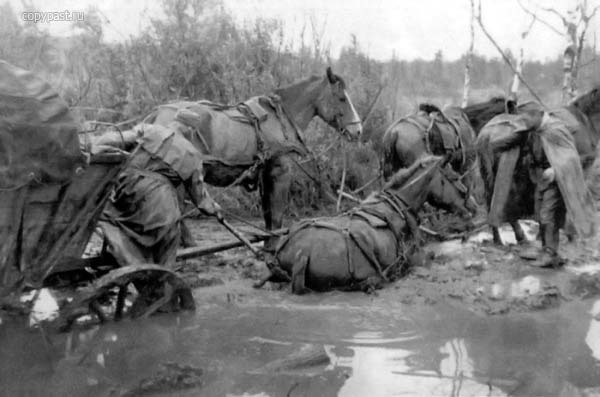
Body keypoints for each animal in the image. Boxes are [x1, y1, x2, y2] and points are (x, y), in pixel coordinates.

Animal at [145, 67, 360, 248]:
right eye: (341, 98)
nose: (358, 131)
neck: (280, 119)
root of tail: (157, 113)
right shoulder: (280, 172)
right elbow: (277, 213)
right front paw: (273, 245)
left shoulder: (265, 175)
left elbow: (268, 213)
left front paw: (267, 242)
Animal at [255, 156, 476, 292]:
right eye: (455, 177)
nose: (473, 206)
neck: (399, 204)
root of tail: (300, 253)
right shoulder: (416, 258)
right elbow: (433, 256)